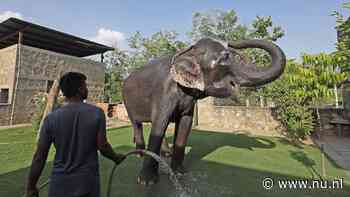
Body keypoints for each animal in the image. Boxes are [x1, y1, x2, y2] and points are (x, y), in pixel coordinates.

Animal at [121, 37, 286, 185]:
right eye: (224, 58)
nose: (233, 45)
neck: (186, 52)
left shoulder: (188, 100)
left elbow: (185, 124)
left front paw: (179, 172)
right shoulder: (163, 92)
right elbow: (160, 123)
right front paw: (146, 181)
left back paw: (165, 153)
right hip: (127, 101)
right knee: (137, 124)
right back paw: (140, 153)